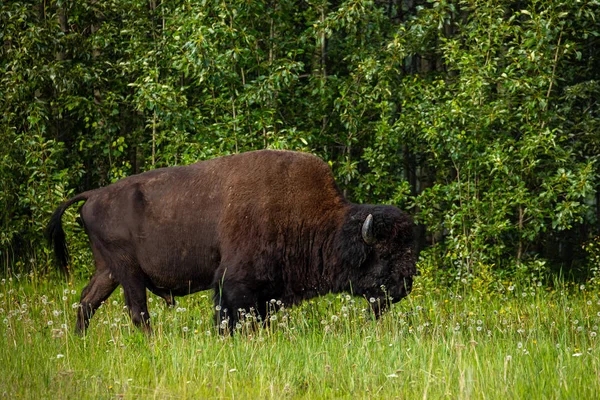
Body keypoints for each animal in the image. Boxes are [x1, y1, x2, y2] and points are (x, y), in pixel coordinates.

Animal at [47, 148, 414, 332]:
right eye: (384, 254)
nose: (404, 286)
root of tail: (93, 195)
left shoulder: (267, 292)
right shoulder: (234, 284)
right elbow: (231, 316)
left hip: (107, 270)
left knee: (86, 303)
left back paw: (80, 341)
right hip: (127, 272)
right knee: (138, 312)